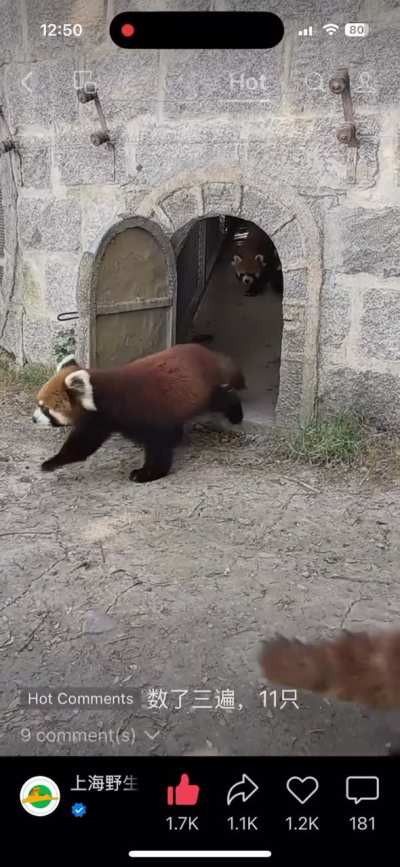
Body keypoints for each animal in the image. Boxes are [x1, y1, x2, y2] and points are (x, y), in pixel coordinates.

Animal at [32, 344, 245, 483]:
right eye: (38, 404)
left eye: (45, 409)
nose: (33, 418)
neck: (104, 395)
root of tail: (208, 353)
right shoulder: (102, 421)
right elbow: (83, 445)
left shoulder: (141, 413)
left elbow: (158, 445)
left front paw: (148, 473)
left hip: (204, 392)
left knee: (222, 398)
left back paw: (236, 413)